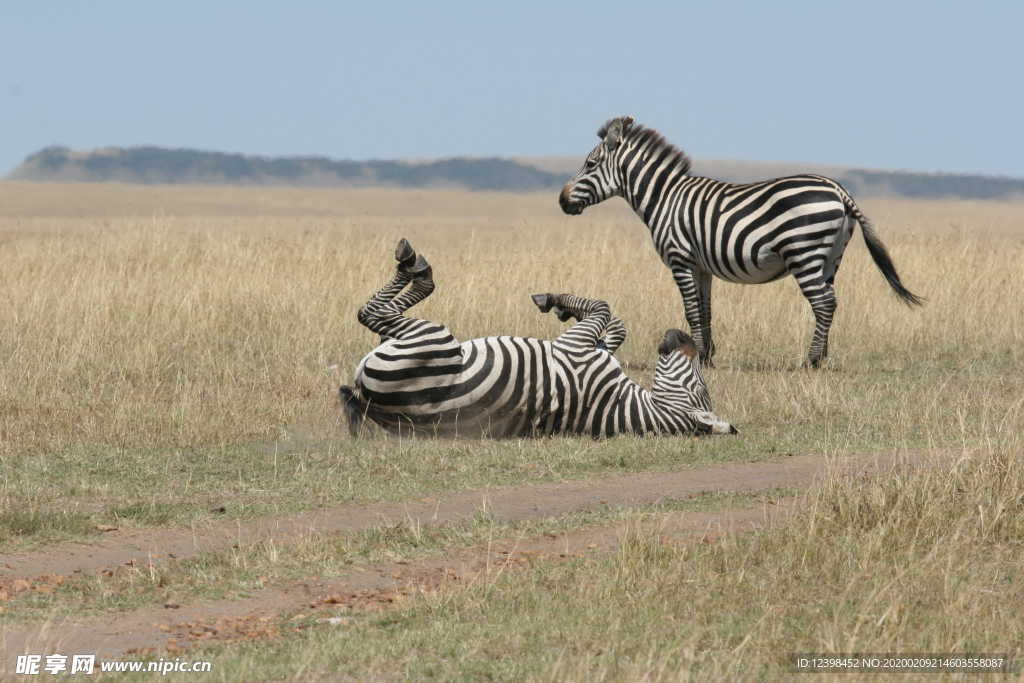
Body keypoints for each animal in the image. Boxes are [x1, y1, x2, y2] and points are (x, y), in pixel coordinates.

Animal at [342, 240, 737, 438]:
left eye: (698, 386)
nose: (679, 335)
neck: (626, 406)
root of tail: (373, 404)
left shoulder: (577, 348)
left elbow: (602, 308)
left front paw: (554, 300)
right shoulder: (592, 350)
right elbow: (615, 324)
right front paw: (564, 307)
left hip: (433, 340)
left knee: (371, 314)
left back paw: (414, 265)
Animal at [557, 116, 925, 368]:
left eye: (590, 164)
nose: (561, 201)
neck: (664, 198)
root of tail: (840, 191)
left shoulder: (680, 259)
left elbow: (691, 310)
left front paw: (696, 358)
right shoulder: (701, 266)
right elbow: (705, 310)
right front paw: (707, 356)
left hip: (804, 253)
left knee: (822, 303)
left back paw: (810, 361)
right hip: (831, 257)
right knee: (831, 301)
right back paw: (823, 356)